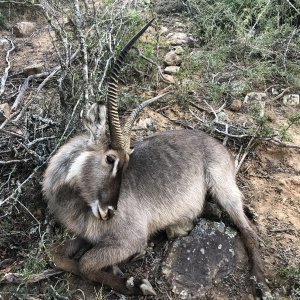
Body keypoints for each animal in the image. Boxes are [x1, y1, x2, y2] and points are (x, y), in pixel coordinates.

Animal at [42, 19, 270, 298]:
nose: (110, 212)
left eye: (125, 163)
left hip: (224, 189)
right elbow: (55, 255)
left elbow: (85, 264)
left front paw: (135, 283)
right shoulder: (84, 237)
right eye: (110, 159)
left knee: (248, 230)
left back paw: (260, 283)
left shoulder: (129, 238)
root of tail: (216, 143)